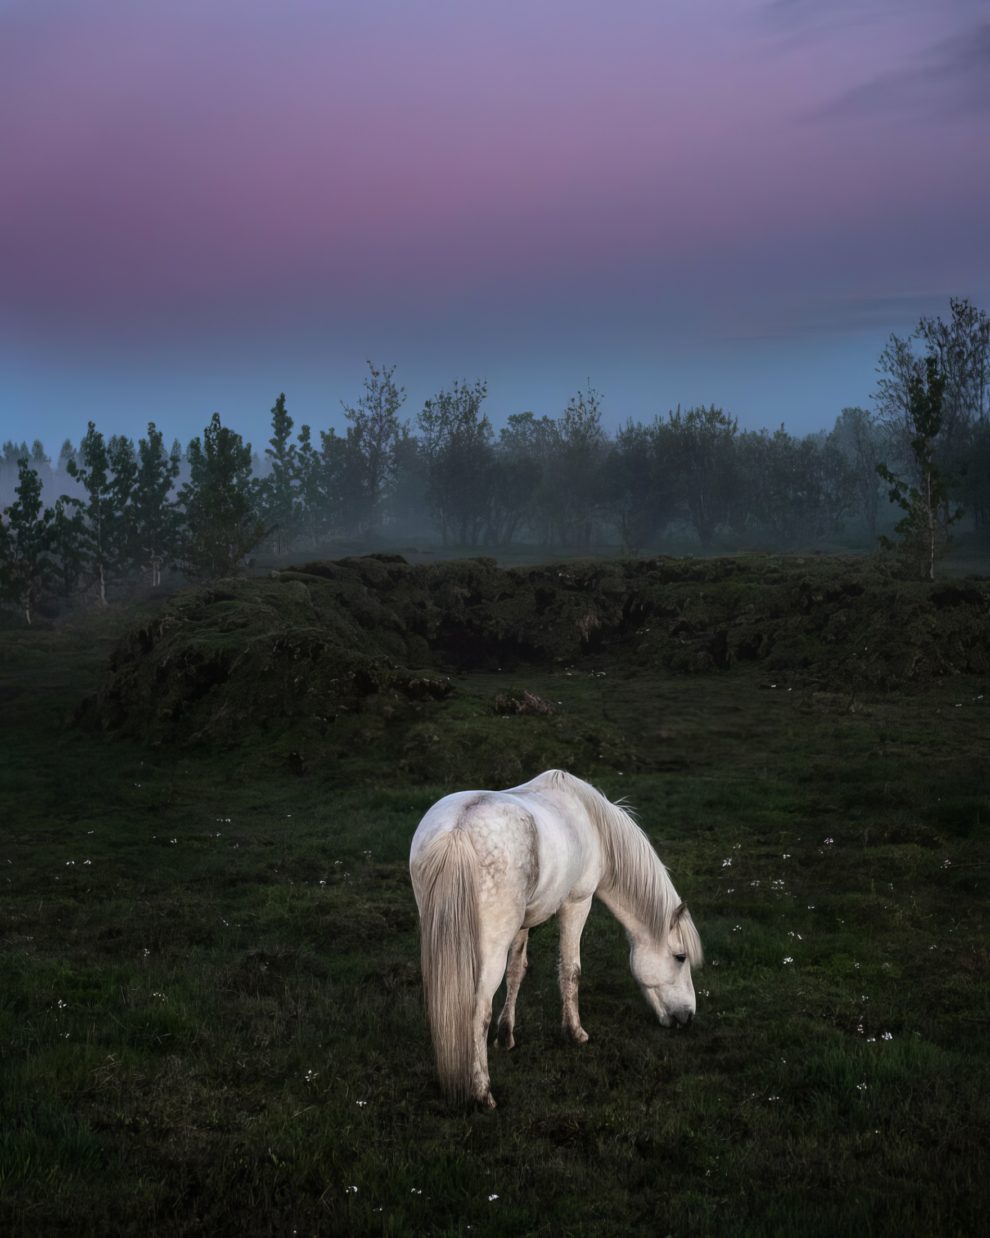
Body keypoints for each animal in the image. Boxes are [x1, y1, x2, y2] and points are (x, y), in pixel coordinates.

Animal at [410, 767, 702, 1109]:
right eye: (680, 957)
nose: (687, 1017)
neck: (592, 822)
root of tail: (457, 830)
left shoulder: (524, 923)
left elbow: (517, 972)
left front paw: (506, 1036)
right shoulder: (577, 903)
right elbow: (570, 970)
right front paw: (575, 1033)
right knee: (478, 1011)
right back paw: (483, 1093)